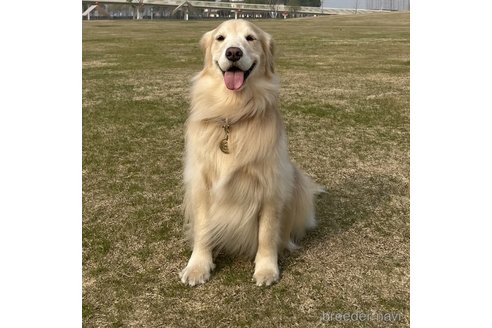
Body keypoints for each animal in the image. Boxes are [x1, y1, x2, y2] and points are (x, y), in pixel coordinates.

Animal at [179, 19, 320, 288]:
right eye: (220, 38)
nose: (233, 52)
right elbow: (203, 230)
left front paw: (266, 269)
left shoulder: (270, 187)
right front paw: (198, 266)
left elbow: (267, 233)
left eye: (250, 38)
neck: (232, 114)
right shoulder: (201, 184)